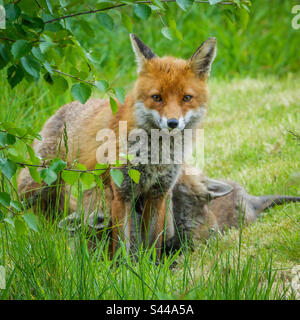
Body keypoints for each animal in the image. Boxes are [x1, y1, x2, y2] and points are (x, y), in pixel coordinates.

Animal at [17, 34, 217, 260]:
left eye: (186, 98)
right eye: (157, 97)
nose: (172, 123)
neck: (155, 155)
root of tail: (63, 107)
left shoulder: (158, 193)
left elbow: (152, 243)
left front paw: (151, 267)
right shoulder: (121, 192)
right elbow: (122, 245)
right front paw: (124, 268)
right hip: (37, 185)